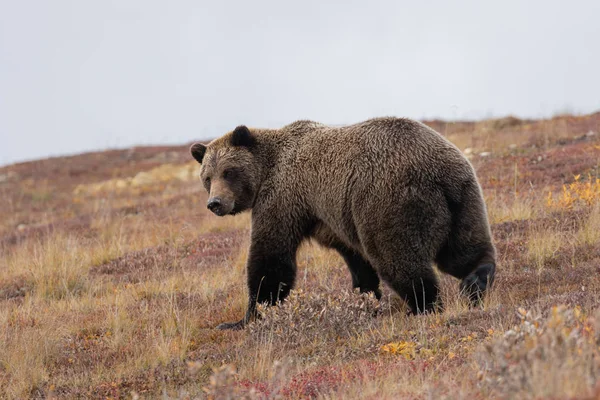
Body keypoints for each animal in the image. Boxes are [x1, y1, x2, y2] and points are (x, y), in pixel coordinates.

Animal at [192, 117, 496, 330]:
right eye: (207, 177)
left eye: (229, 171)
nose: (215, 203)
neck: (268, 168)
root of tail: (440, 171)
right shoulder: (334, 217)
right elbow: (357, 259)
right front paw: (366, 298)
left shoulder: (283, 198)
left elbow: (271, 258)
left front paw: (244, 318)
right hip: (464, 199)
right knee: (463, 250)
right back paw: (476, 281)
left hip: (388, 202)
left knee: (398, 257)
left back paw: (423, 306)